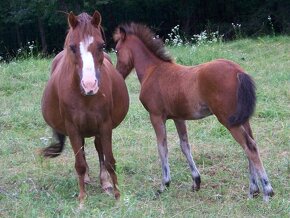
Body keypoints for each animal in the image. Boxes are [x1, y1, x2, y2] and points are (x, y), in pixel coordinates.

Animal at [40, 11, 128, 206]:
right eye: (72, 47)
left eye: (102, 45)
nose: (90, 85)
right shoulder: (72, 128)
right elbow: (79, 163)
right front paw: (82, 198)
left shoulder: (105, 125)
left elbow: (109, 160)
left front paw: (117, 194)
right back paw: (87, 178)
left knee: (98, 149)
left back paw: (104, 182)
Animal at [113, 23, 274, 201]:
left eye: (116, 50)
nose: (118, 73)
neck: (153, 70)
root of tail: (238, 71)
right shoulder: (178, 118)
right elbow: (185, 146)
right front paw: (196, 182)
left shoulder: (156, 116)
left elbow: (162, 148)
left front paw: (164, 184)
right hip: (242, 119)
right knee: (250, 145)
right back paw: (253, 190)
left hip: (228, 119)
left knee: (249, 146)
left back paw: (267, 191)